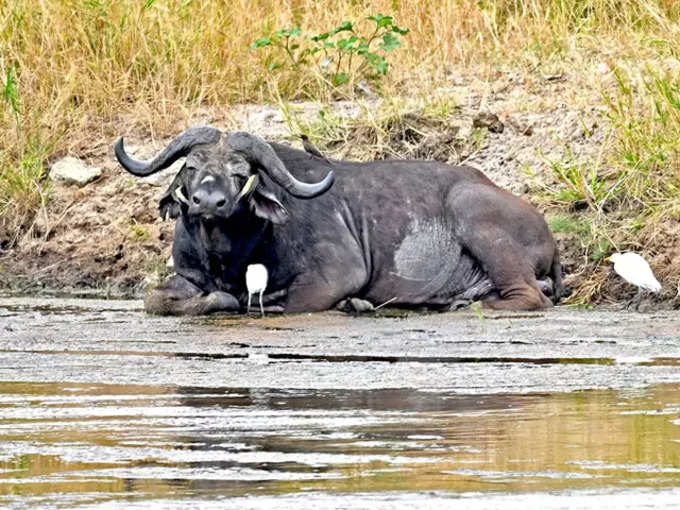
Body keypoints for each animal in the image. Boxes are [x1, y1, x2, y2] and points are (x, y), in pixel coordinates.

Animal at [115, 125, 564, 312]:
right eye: (191, 167)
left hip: (475, 215)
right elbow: (155, 300)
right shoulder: (186, 276)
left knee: (531, 296)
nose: (209, 201)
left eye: (241, 173)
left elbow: (284, 304)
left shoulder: (337, 273)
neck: (229, 253)